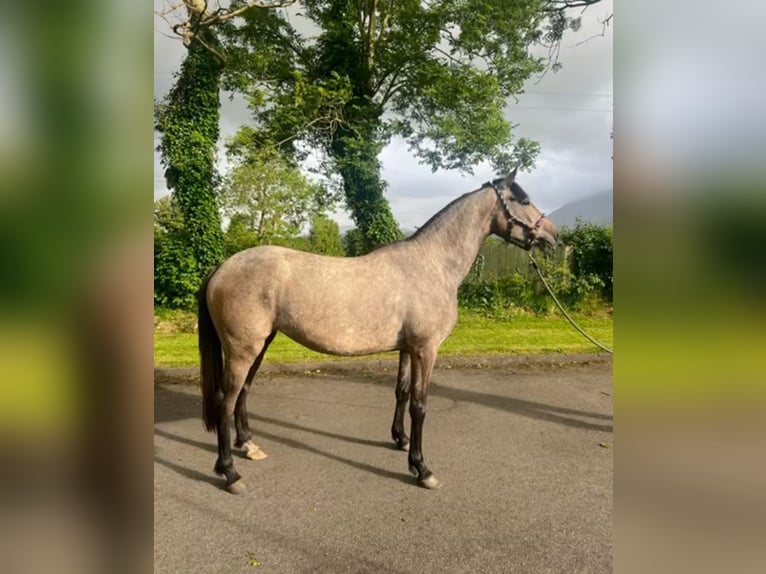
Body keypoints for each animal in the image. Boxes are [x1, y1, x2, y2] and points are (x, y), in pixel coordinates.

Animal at [197, 168, 558, 493]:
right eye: (523, 199)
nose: (554, 237)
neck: (432, 264)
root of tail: (221, 267)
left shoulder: (407, 349)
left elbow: (401, 392)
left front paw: (401, 440)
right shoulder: (426, 350)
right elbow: (420, 405)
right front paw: (422, 469)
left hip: (260, 344)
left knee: (242, 392)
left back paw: (249, 445)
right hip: (243, 349)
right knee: (225, 400)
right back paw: (230, 473)